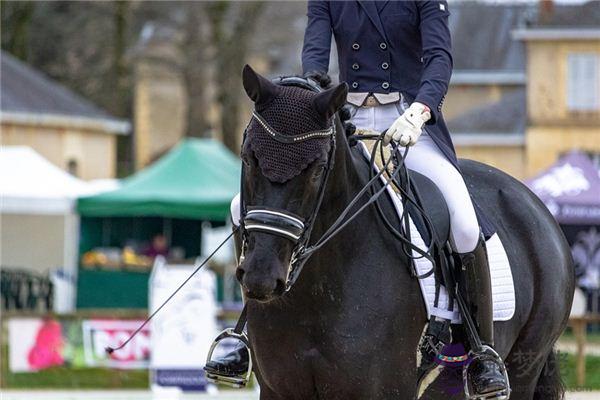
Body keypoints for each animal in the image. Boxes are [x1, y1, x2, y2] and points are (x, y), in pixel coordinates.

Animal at [236, 66, 576, 400]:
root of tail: (532, 200)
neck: (318, 291)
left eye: (318, 168)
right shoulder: (278, 389)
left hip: (525, 367)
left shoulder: (386, 388)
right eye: (248, 158)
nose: (262, 277)